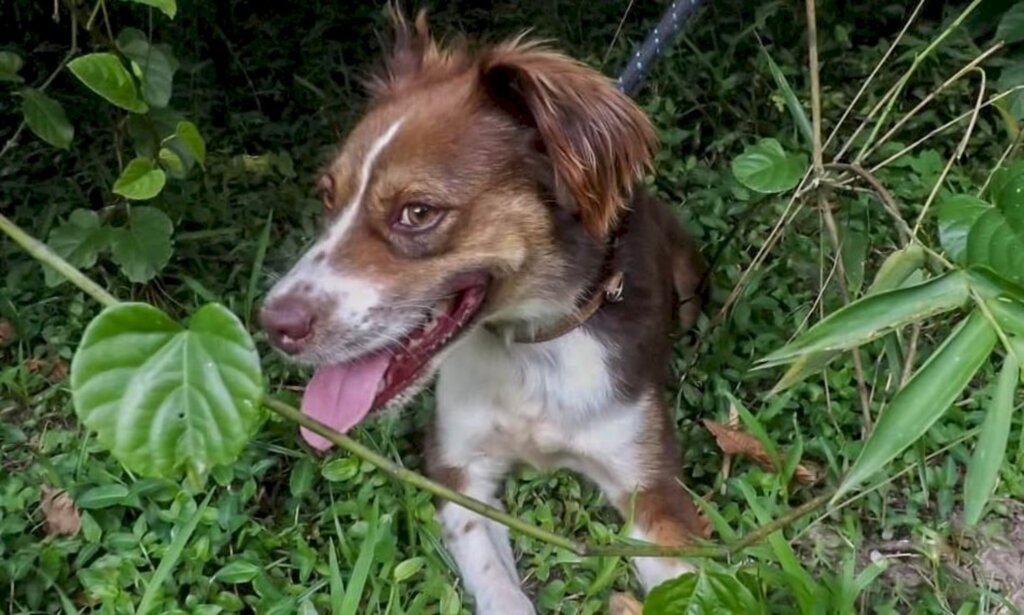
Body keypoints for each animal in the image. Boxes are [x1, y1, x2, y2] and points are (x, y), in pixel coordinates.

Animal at [260, 7, 708, 609]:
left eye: (417, 212)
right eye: (329, 197)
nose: (273, 324)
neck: (531, 347)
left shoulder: (651, 490)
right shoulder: (458, 471)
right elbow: (497, 584)